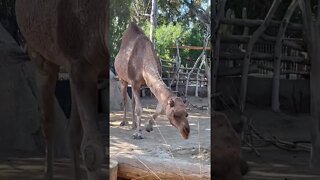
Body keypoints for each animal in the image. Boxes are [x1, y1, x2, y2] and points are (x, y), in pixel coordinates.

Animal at [15, 0, 109, 180]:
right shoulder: (82, 64)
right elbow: (92, 151)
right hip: (40, 56)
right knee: (48, 122)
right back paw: (47, 174)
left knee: (72, 132)